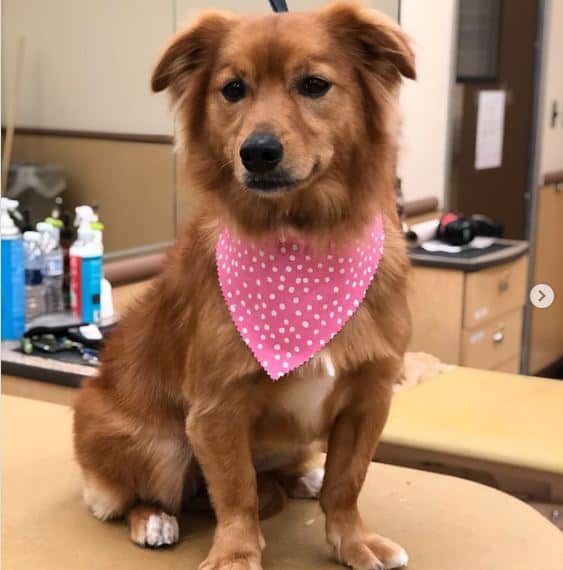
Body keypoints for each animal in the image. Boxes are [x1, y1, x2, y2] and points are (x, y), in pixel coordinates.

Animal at [74, 2, 414, 564]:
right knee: (138, 495)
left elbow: (347, 482)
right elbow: (236, 493)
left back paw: (303, 479)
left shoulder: (370, 395)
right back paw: (155, 520)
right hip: (157, 442)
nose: (257, 152)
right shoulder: (216, 408)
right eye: (233, 89)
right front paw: (236, 554)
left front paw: (354, 542)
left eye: (314, 84)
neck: (303, 242)